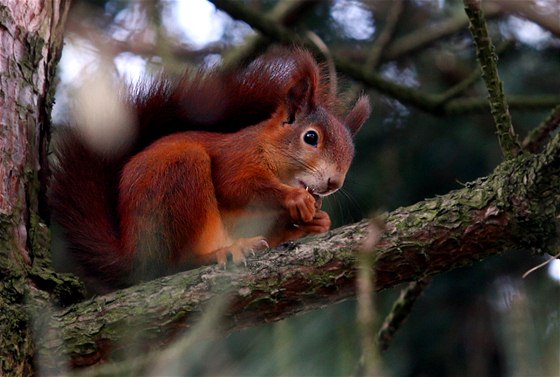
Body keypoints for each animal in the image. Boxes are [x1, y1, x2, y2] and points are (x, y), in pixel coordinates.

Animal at [49, 49, 372, 290]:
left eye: (351, 153)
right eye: (311, 137)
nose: (334, 183)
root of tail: (134, 259)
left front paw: (317, 221)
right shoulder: (237, 157)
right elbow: (236, 185)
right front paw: (296, 199)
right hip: (179, 177)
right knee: (178, 263)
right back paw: (220, 252)